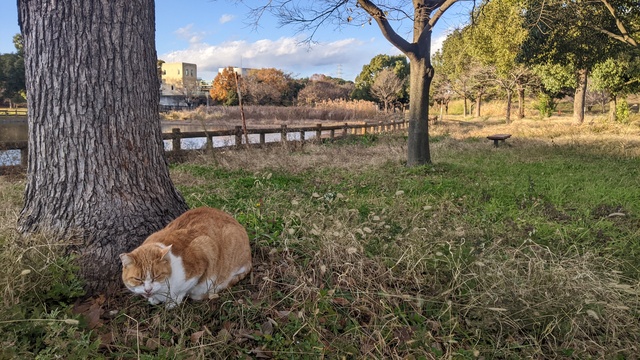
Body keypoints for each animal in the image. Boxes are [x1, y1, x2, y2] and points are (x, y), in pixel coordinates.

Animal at [119, 207, 251, 308]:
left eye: (157, 276)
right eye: (137, 279)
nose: (148, 290)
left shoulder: (203, 250)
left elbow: (183, 291)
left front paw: (172, 303)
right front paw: (152, 299)